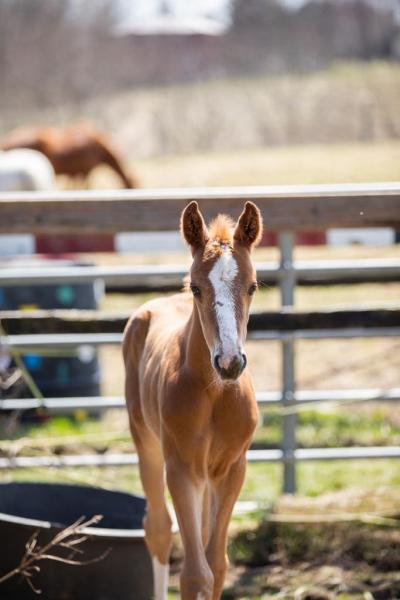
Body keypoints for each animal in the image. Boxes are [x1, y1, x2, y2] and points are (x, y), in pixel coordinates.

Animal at [123, 199, 264, 596]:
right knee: (157, 528)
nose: (230, 362)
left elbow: (216, 564)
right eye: (197, 289)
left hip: (206, 473)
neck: (215, 394)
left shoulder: (231, 468)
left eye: (252, 286)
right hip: (147, 442)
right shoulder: (181, 468)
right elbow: (194, 573)